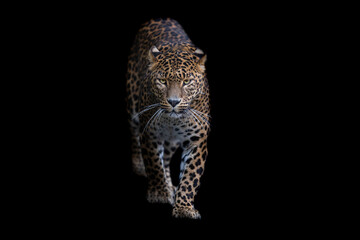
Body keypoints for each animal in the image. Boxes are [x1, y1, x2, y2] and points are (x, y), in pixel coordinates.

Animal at [126, 17, 211, 218]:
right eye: (162, 81)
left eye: (186, 82)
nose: (173, 101)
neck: (172, 121)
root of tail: (160, 18)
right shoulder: (149, 133)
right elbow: (153, 164)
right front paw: (159, 194)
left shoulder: (197, 141)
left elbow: (190, 176)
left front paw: (184, 208)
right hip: (132, 104)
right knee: (135, 136)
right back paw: (140, 167)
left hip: (172, 141)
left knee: (165, 159)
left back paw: (170, 186)